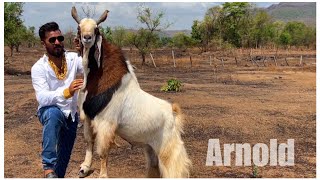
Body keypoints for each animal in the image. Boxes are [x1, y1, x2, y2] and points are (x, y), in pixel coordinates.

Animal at [71, 6, 191, 178]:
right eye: (79, 27)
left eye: (96, 28)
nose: (87, 38)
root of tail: (173, 113)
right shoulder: (88, 117)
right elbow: (89, 141)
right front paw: (84, 168)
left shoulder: (106, 124)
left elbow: (103, 152)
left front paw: (103, 175)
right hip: (150, 148)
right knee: (153, 167)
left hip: (169, 150)